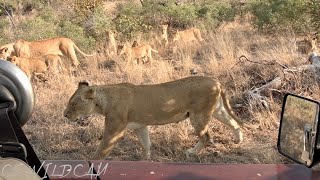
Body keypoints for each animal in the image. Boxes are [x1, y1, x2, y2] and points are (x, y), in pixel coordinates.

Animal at [63, 76, 244, 160]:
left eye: (73, 104)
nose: (64, 115)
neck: (104, 100)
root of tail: (216, 81)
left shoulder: (114, 130)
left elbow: (102, 149)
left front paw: (92, 163)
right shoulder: (140, 126)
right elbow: (146, 143)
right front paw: (145, 159)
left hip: (198, 115)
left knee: (206, 137)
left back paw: (192, 152)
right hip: (217, 110)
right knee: (233, 123)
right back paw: (239, 140)